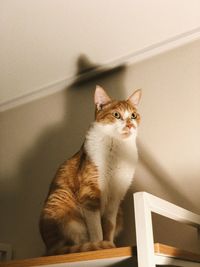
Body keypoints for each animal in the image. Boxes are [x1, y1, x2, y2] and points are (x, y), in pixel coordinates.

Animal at [39, 86, 141, 255]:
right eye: (116, 115)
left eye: (133, 115)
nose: (130, 125)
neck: (117, 149)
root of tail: (49, 249)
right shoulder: (90, 195)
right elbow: (96, 229)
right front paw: (99, 246)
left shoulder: (115, 200)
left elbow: (109, 226)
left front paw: (109, 244)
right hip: (61, 198)